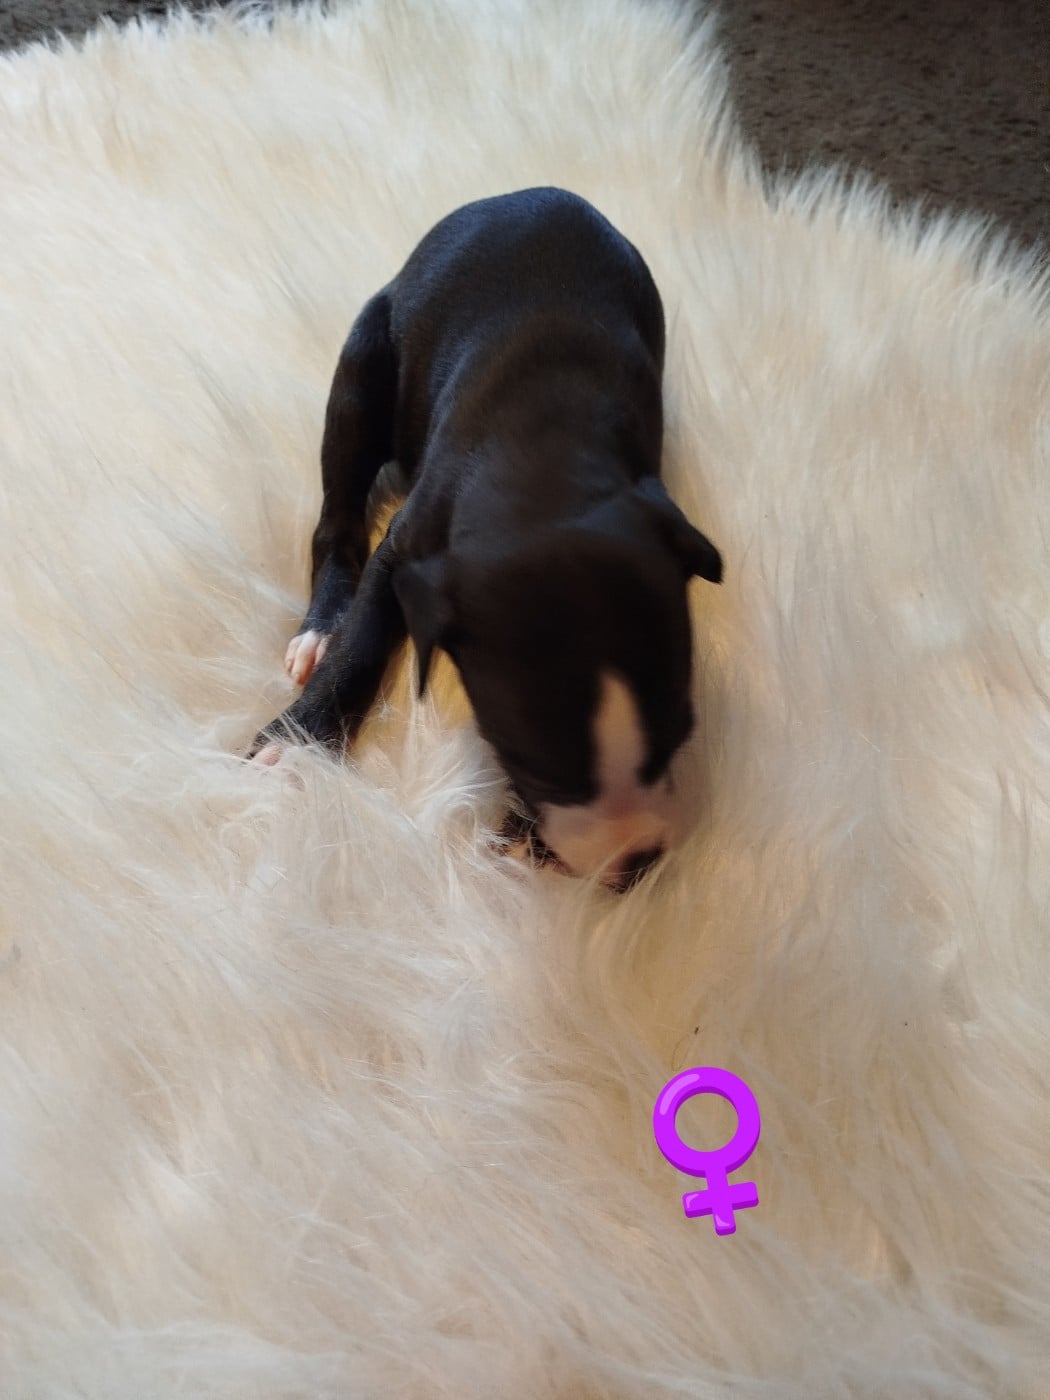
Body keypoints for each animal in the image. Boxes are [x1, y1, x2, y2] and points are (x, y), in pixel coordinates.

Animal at [249, 187, 722, 891]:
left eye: (684, 730)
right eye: (535, 763)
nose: (637, 862)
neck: (545, 471)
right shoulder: (407, 543)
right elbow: (362, 643)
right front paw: (297, 740)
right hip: (364, 362)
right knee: (337, 518)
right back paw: (320, 628)